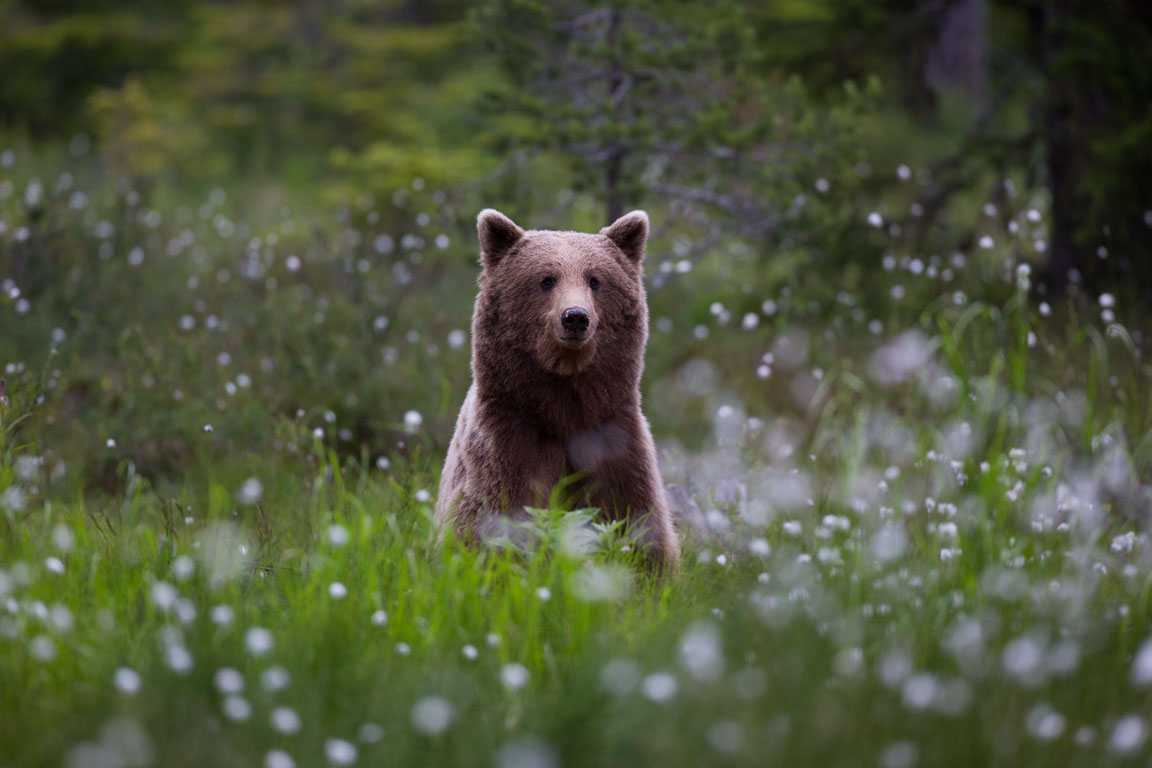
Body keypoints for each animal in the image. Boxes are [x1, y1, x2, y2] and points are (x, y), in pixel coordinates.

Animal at [435, 208, 677, 571]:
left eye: (595, 280)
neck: (563, 405)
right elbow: (494, 516)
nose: (575, 317)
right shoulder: (508, 439)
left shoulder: (613, 439)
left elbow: (635, 521)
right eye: (546, 280)